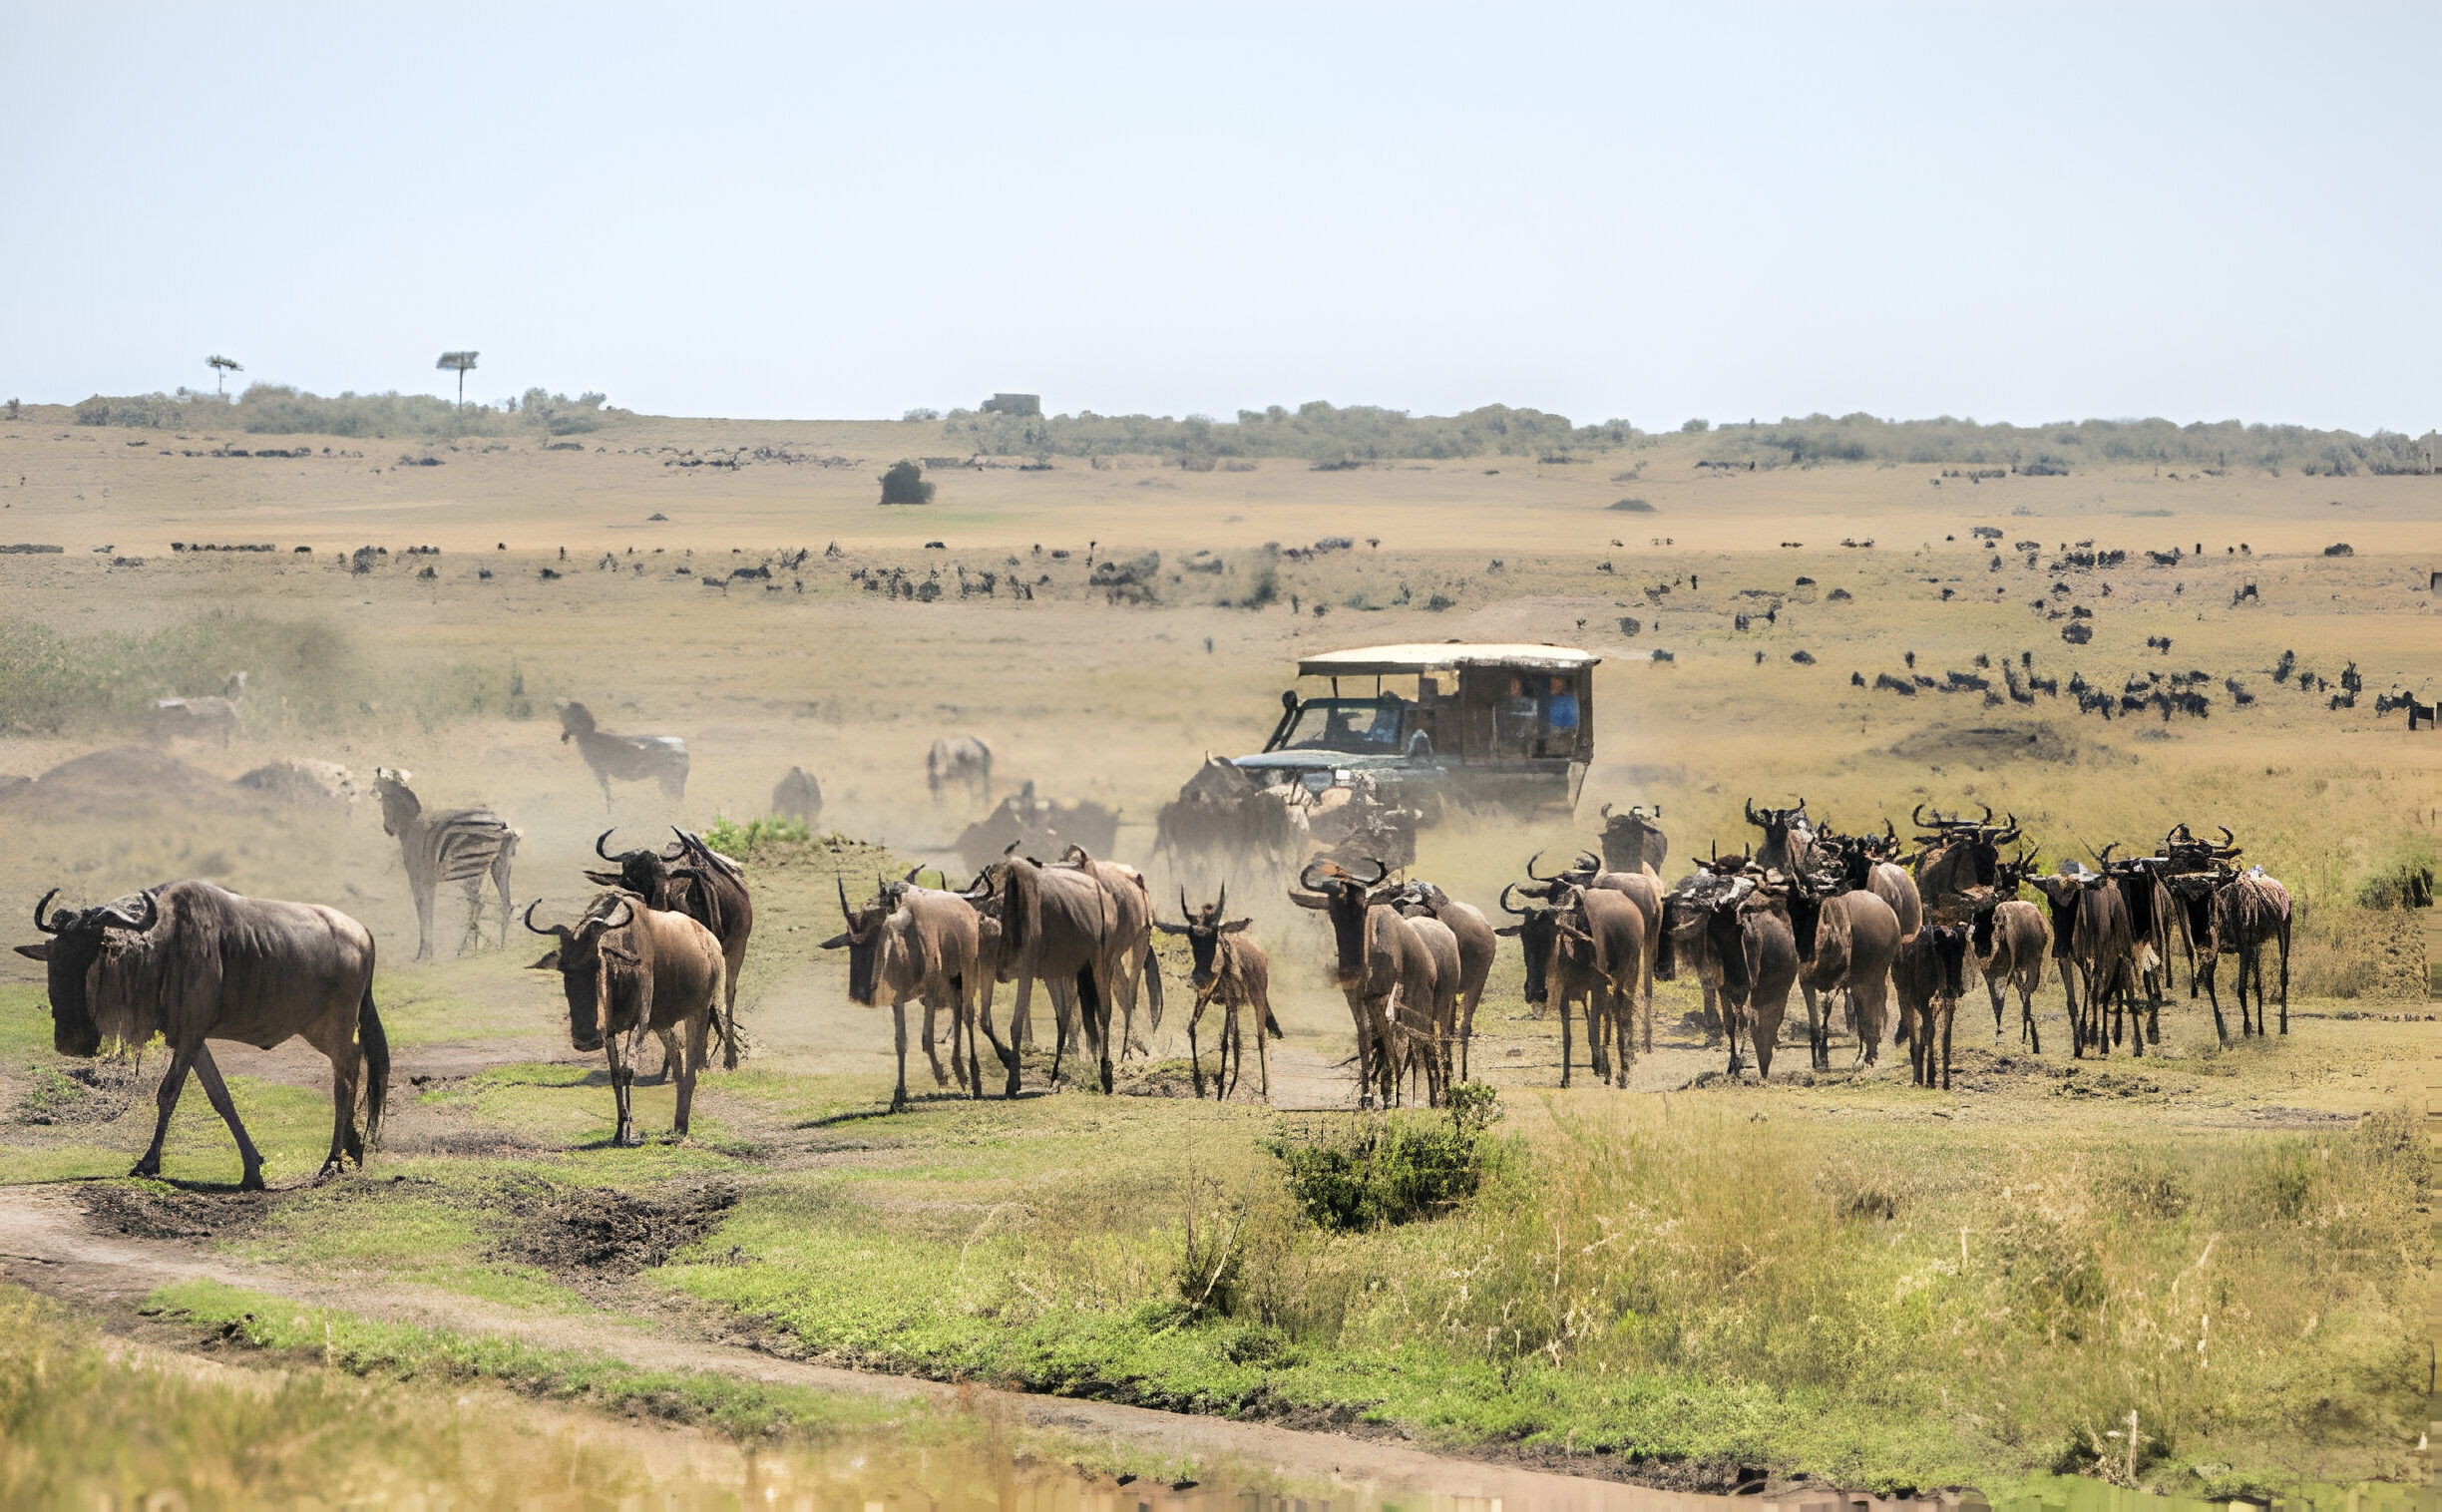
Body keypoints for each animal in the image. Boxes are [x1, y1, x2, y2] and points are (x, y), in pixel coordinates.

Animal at [371, 767, 520, 957]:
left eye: (382, 799)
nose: (387, 829)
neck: (410, 825)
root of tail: (502, 826)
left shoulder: (420, 879)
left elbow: (424, 912)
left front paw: (424, 955)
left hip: (472, 871)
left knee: (480, 904)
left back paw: (469, 949)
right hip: (495, 866)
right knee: (501, 904)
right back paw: (493, 946)